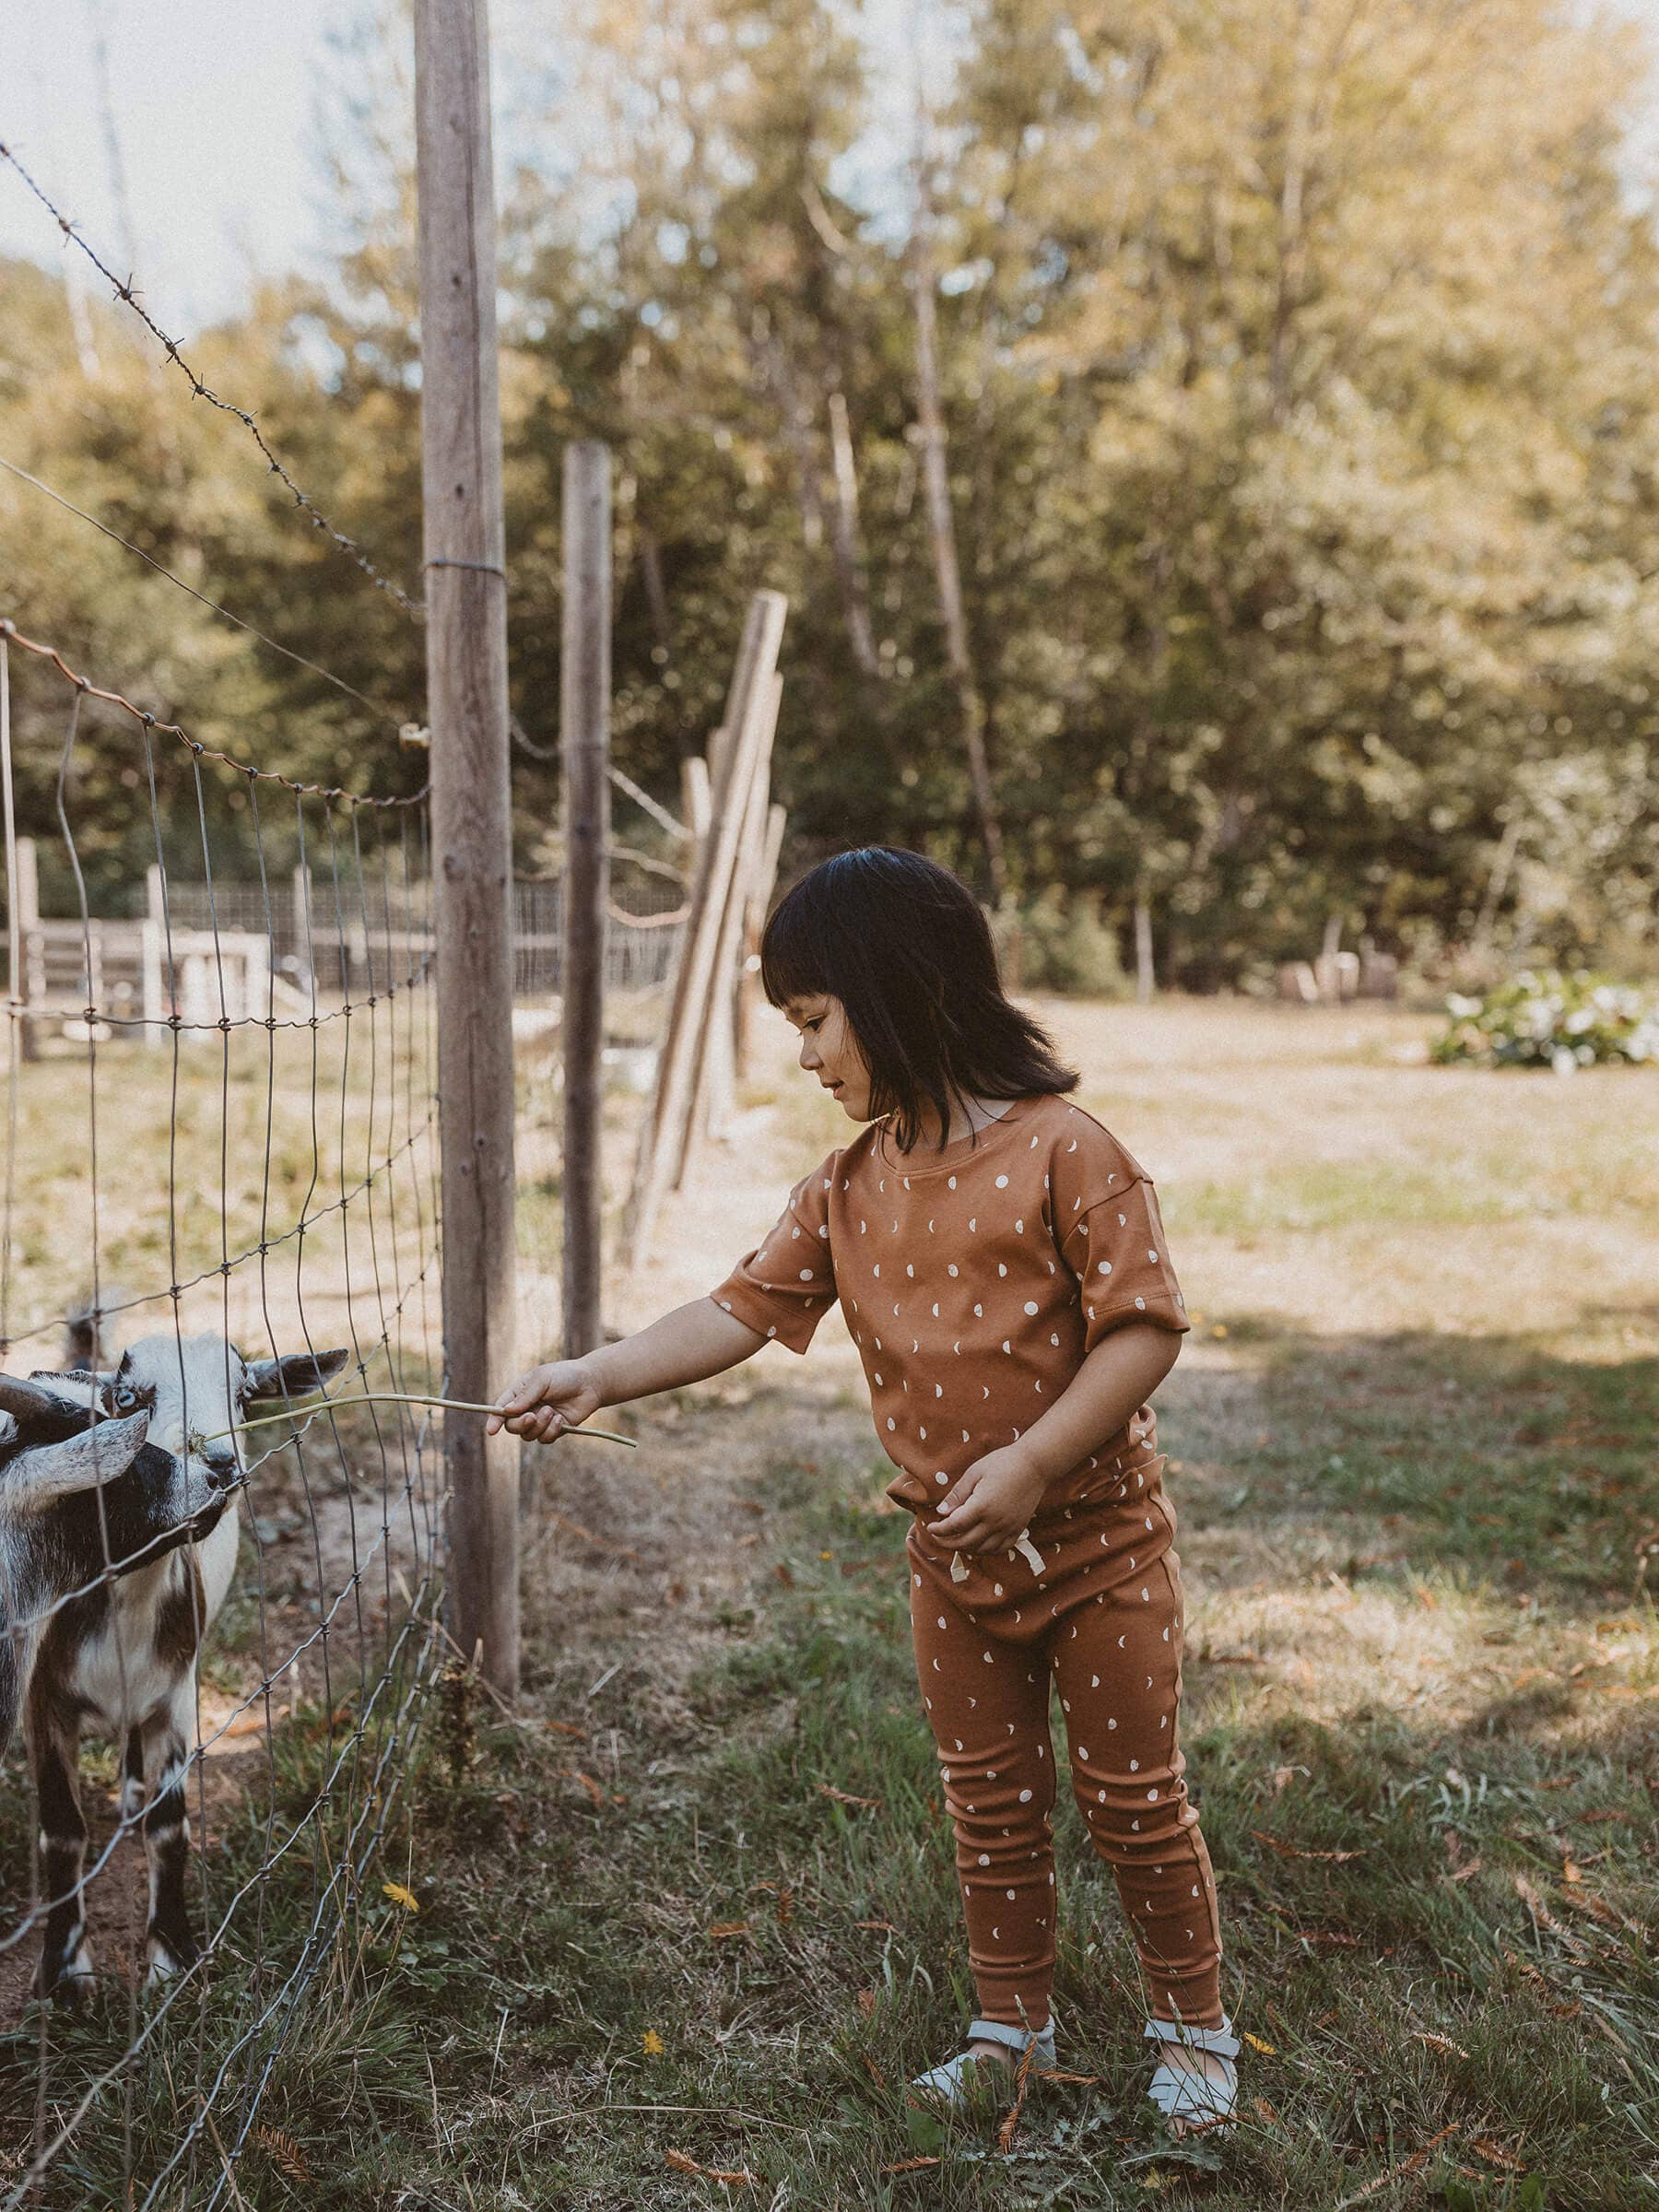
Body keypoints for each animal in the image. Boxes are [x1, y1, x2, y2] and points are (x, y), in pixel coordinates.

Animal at [2, 1327, 347, 2008]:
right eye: (130, 1397)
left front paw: (173, 1956)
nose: (217, 1466)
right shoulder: (43, 1702)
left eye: (244, 1395)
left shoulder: (178, 1697)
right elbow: (62, 1831)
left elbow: (170, 1827)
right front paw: (65, 1973)